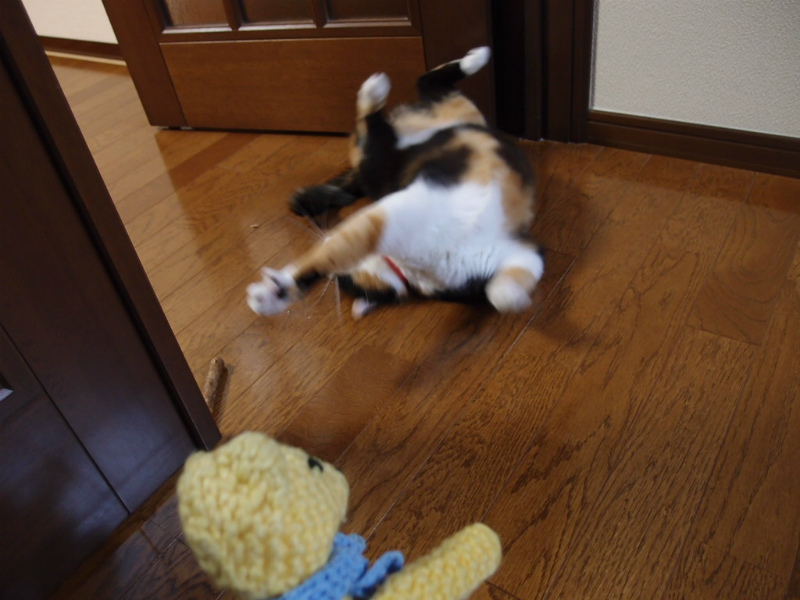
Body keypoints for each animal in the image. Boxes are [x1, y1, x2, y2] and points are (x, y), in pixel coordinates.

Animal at [247, 46, 544, 319]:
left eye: (344, 280)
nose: (326, 234)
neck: (416, 268)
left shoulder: (521, 253)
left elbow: (499, 295)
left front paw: (516, 301)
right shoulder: (383, 220)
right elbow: (324, 258)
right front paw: (273, 296)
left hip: (429, 130)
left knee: (422, 89)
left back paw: (471, 58)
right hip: (393, 153)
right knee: (405, 102)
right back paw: (378, 91)